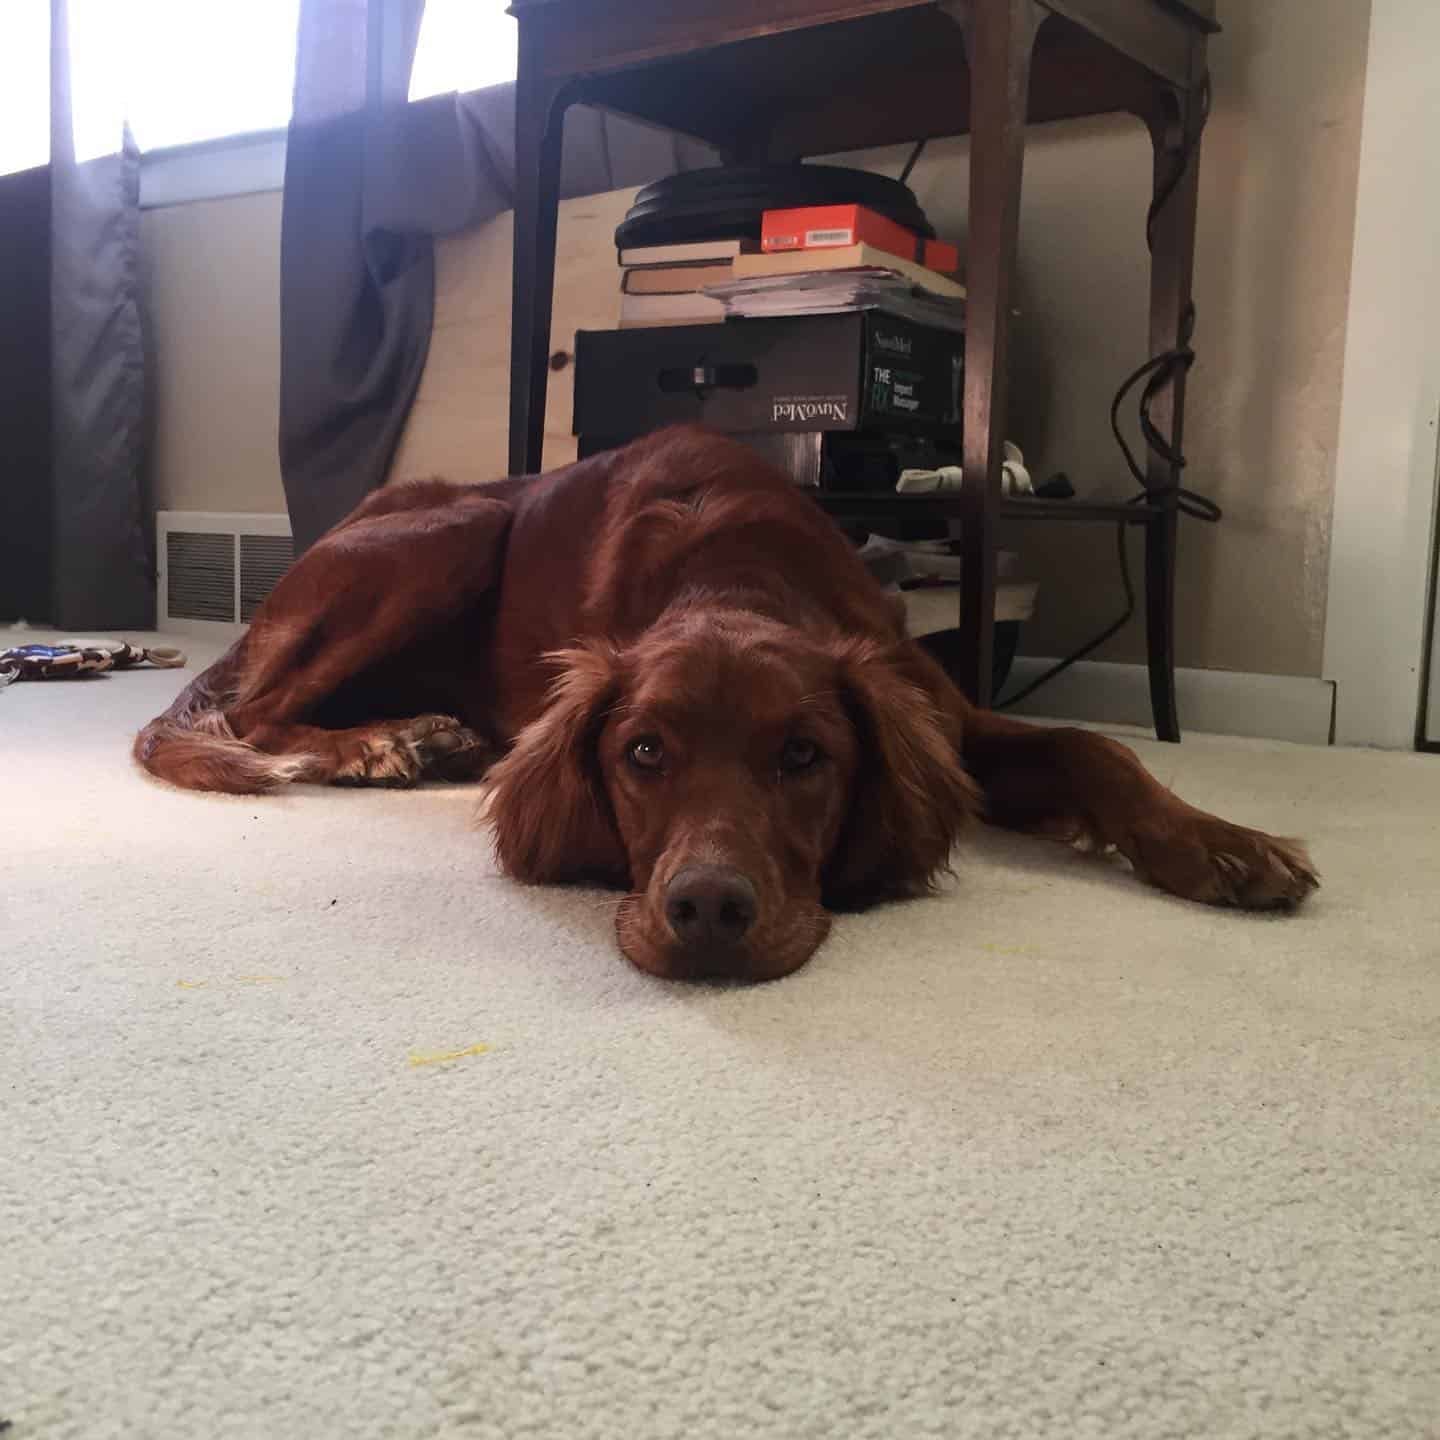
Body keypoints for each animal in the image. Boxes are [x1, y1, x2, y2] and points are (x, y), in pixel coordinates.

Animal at [135, 423, 1319, 979]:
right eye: (643, 754)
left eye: (805, 757)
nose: (708, 913)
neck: (737, 574)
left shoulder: (947, 716)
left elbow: (1094, 748)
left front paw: (1223, 845)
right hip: (453, 530)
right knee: (258, 714)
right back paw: (386, 744)